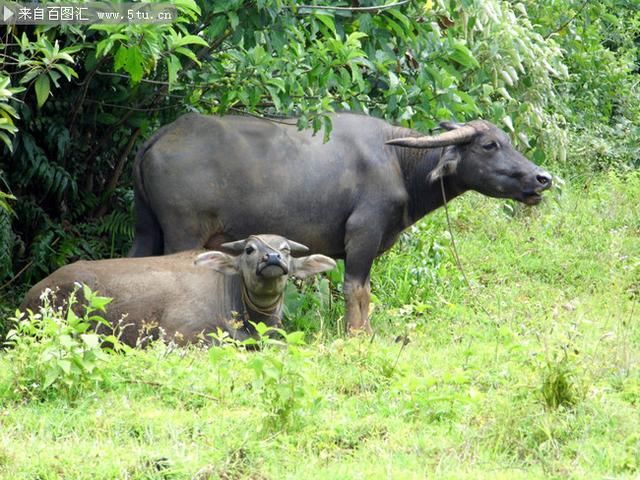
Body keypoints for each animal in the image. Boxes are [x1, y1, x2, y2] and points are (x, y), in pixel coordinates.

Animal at [129, 113, 552, 334]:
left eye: (507, 140)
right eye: (489, 145)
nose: (542, 178)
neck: (399, 164)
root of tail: (158, 137)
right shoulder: (362, 234)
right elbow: (357, 290)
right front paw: (357, 334)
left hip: (146, 228)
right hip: (184, 231)